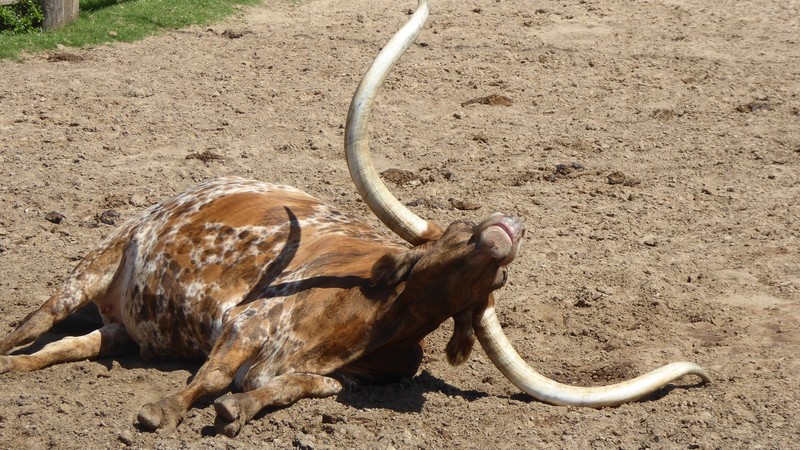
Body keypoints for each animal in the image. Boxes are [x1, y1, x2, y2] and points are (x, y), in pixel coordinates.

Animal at [0, 0, 708, 436]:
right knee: (34, 322)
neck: (364, 318)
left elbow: (296, 389)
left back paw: (22, 370)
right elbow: (210, 376)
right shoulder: (244, 327)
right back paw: (8, 355)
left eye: (499, 282)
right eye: (457, 233)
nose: (509, 227)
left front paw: (237, 410)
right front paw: (162, 411)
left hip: (124, 327)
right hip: (92, 267)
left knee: (73, 346)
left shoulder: (335, 374)